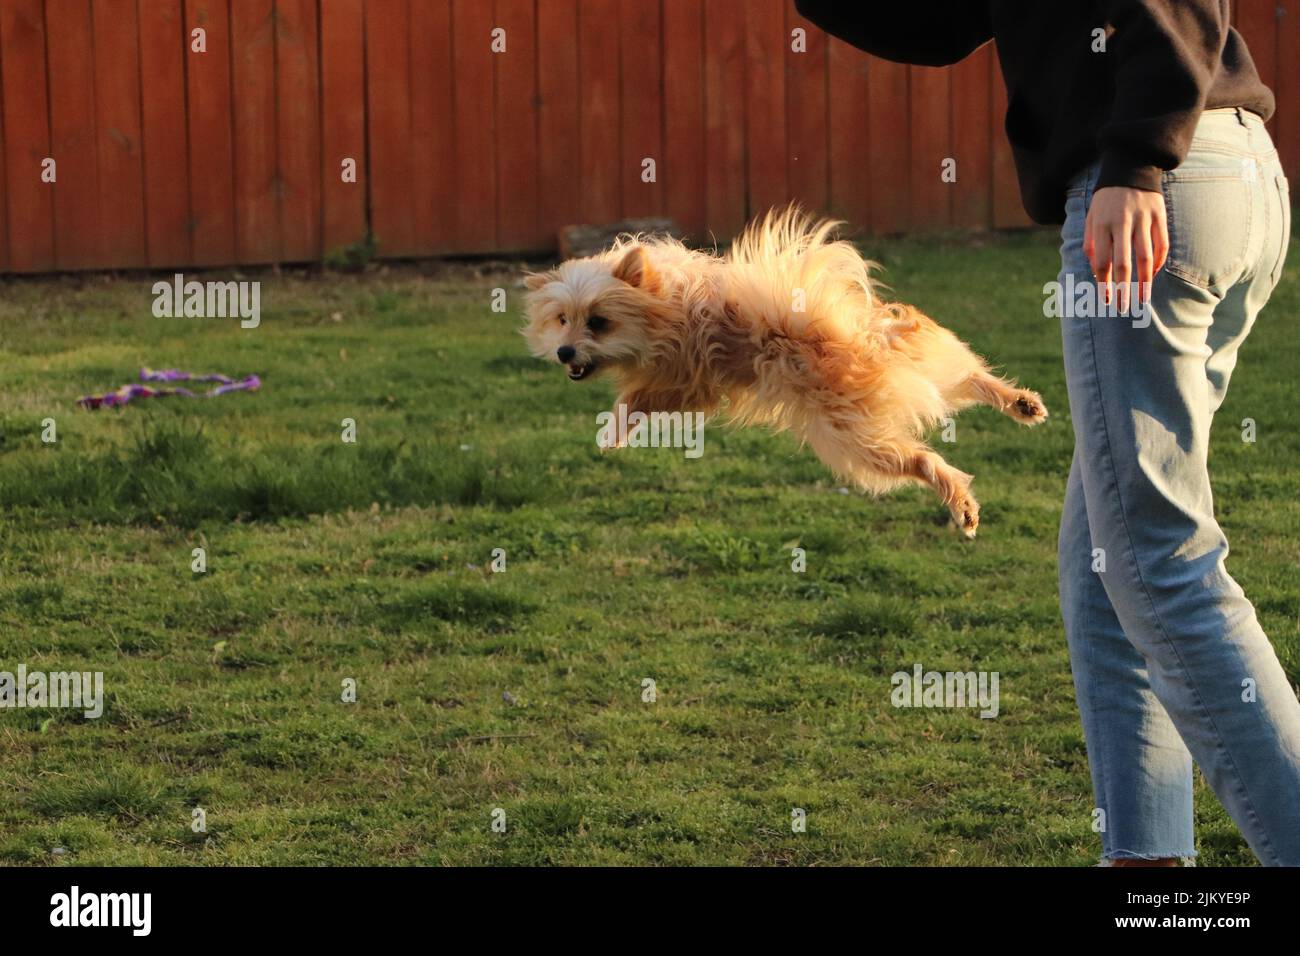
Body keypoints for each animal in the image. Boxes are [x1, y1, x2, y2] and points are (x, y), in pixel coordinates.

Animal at [522, 206, 1040, 535]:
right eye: (562, 319)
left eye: (598, 322)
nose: (565, 352)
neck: (664, 302)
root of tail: (854, 345)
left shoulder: (685, 378)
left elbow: (636, 402)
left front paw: (613, 432)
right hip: (910, 349)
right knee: (964, 376)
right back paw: (1019, 402)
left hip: (856, 442)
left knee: (925, 462)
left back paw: (962, 506)